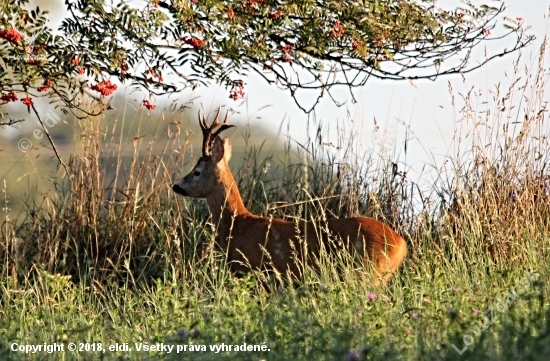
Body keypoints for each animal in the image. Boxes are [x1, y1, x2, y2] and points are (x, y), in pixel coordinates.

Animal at [174, 108, 410, 282]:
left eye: (197, 172)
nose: (176, 186)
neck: (237, 224)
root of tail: (401, 244)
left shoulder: (256, 271)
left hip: (369, 272)